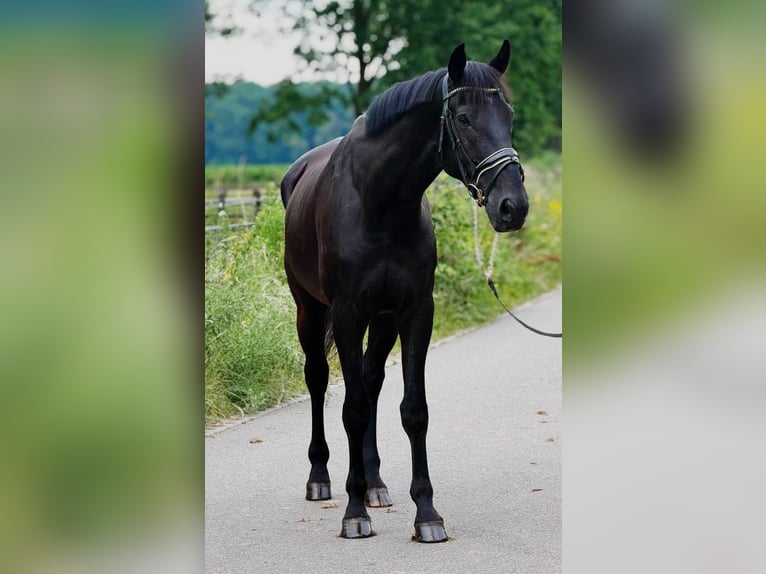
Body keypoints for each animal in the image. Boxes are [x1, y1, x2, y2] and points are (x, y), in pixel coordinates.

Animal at [280, 40, 528, 542]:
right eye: (464, 118)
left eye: (509, 115)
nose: (512, 206)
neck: (380, 201)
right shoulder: (348, 313)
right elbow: (352, 409)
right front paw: (354, 513)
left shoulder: (414, 311)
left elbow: (412, 409)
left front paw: (426, 513)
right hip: (309, 309)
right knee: (319, 379)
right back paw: (322, 478)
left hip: (383, 320)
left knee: (371, 381)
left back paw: (375, 482)